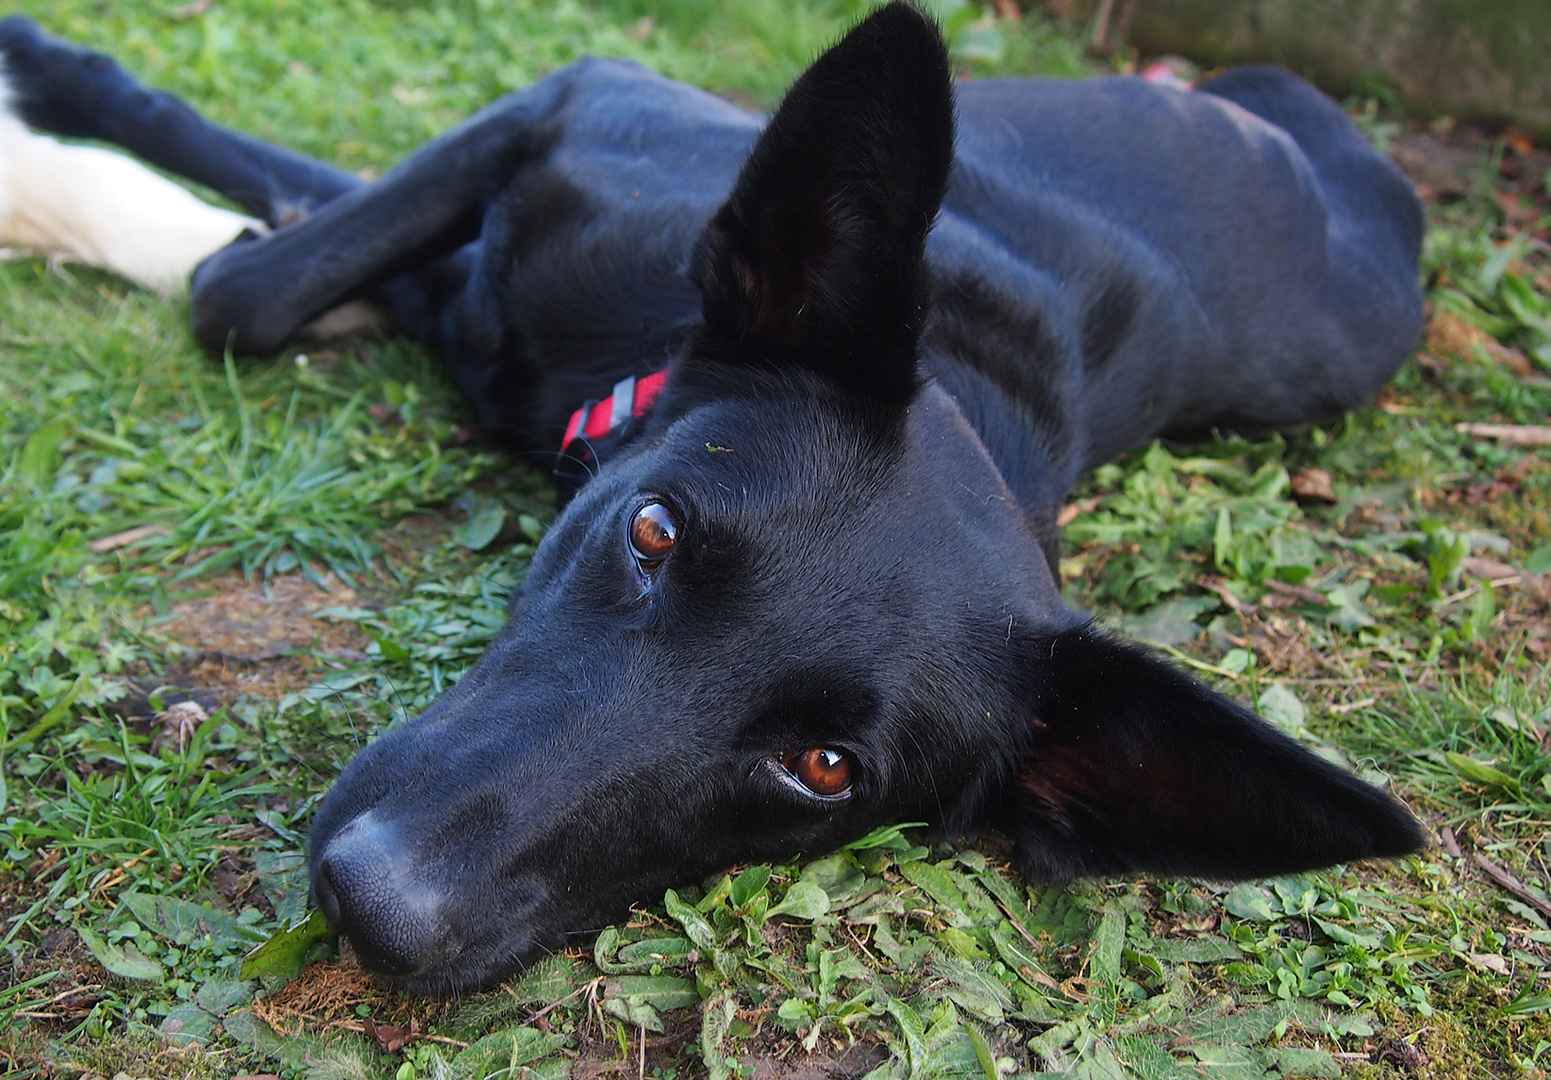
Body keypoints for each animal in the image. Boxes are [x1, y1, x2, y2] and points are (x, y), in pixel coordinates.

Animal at [3, 2, 1426, 993]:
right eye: (653, 532)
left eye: (824, 768)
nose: (374, 906)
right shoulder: (572, 99)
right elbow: (253, 282)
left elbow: (261, 268)